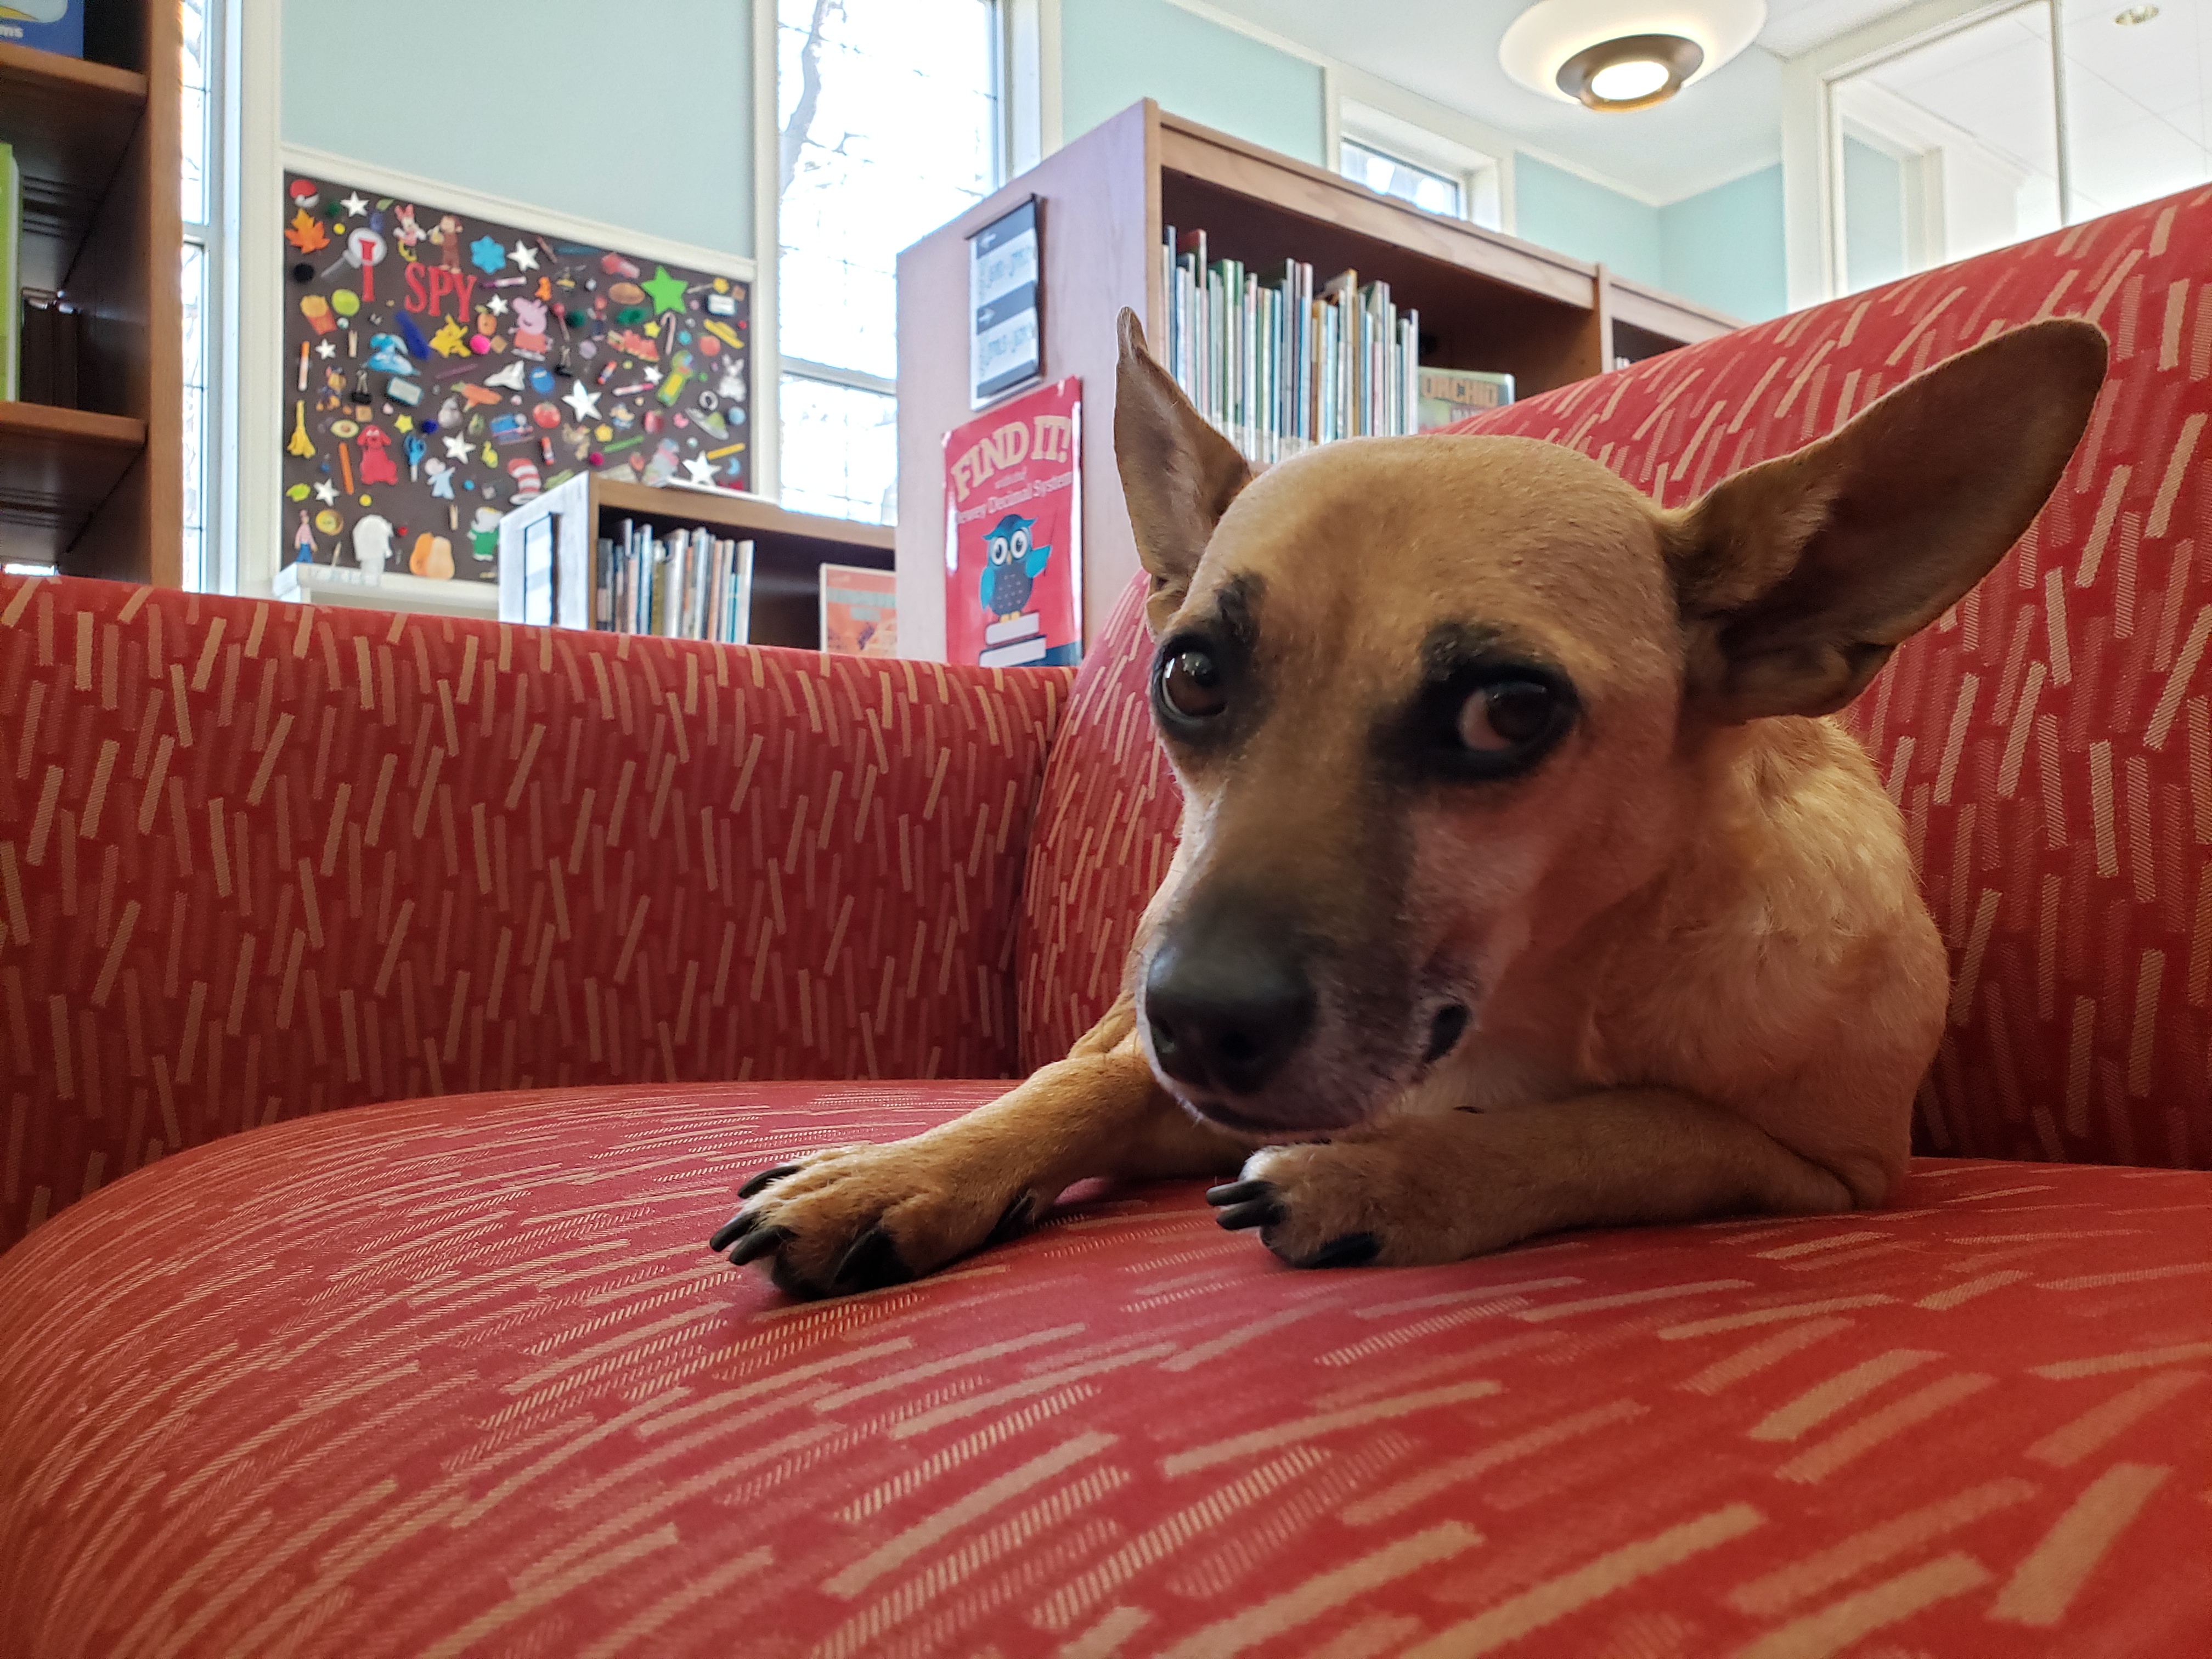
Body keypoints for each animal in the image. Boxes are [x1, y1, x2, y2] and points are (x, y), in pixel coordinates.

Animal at [712, 312, 2106, 1300]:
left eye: (1508, 712)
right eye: (1191, 678)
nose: (1200, 1021)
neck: (1547, 990)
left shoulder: (1825, 1165)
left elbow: (1624, 1128)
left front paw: (1386, 1176)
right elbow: (1083, 1093)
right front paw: (908, 1172)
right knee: (1078, 1068)